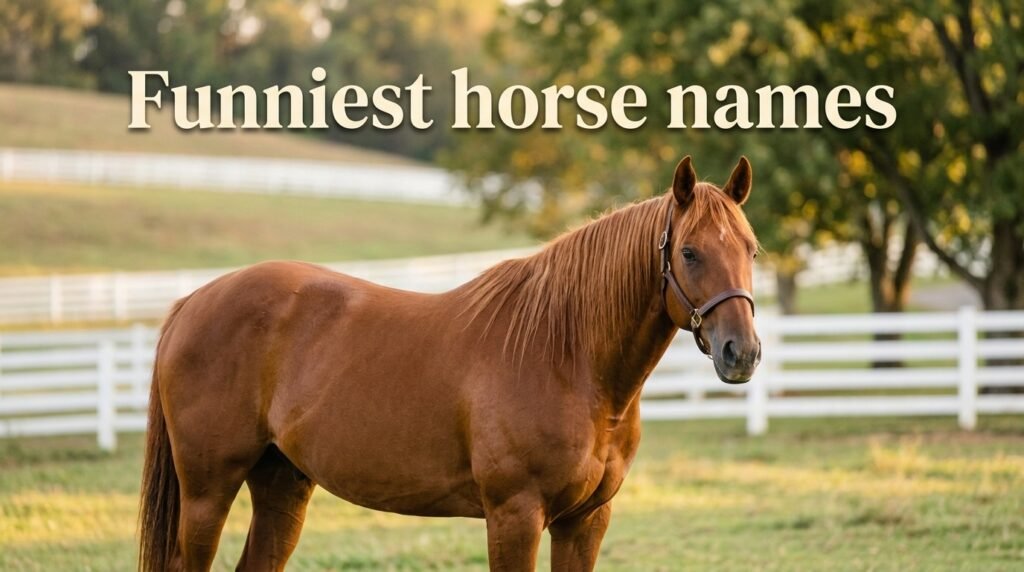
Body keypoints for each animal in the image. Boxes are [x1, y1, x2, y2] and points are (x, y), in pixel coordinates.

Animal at [138, 155, 761, 571]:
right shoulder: (515, 515)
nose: (743, 352)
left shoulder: (586, 520)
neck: (566, 359)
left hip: (282, 485)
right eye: (689, 252)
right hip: (207, 491)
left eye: (751, 249)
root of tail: (192, 302)